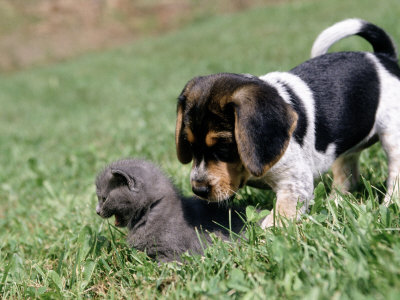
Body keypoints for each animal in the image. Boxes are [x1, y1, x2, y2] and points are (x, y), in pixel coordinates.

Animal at [175, 18, 400, 227]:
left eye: (223, 147)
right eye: (190, 146)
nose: (198, 190)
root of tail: (383, 57)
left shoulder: (295, 183)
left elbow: (278, 218)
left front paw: (266, 235)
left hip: (392, 136)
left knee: (395, 174)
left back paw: (388, 204)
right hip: (345, 148)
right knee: (348, 176)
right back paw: (336, 202)